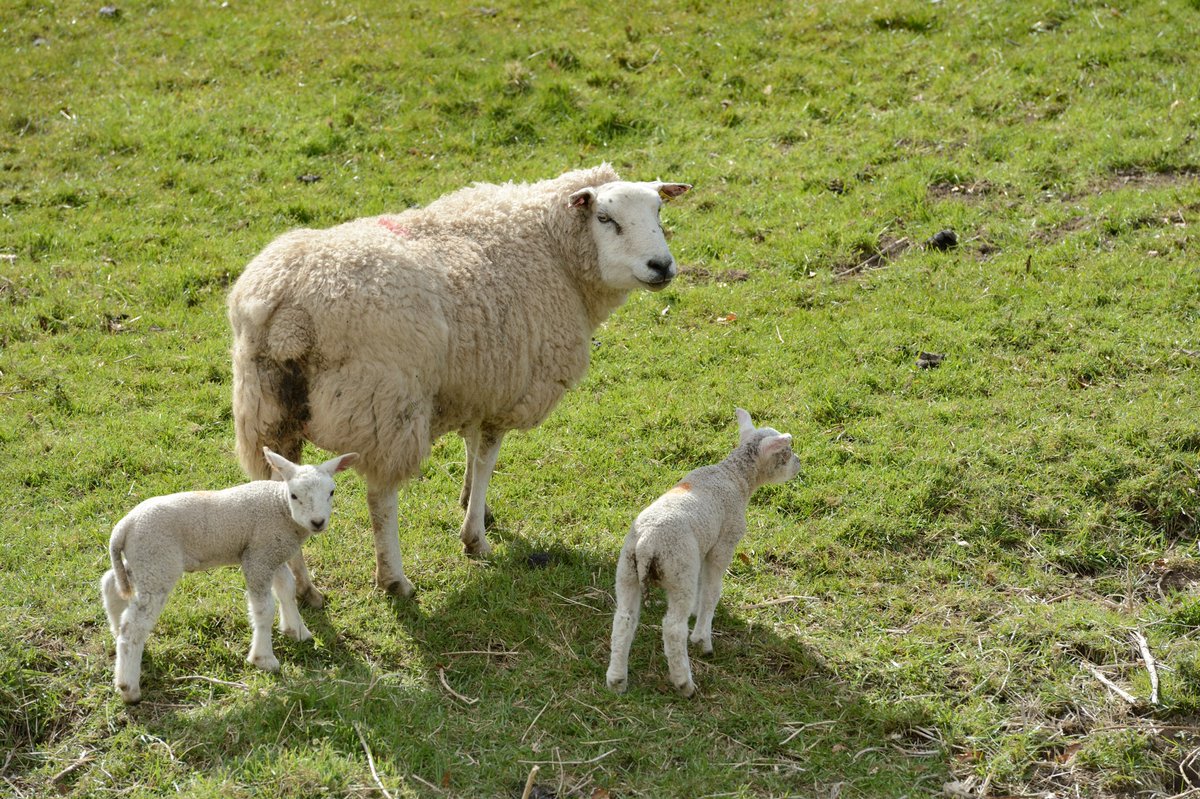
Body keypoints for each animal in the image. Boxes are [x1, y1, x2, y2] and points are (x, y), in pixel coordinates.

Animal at [99, 443, 355, 700]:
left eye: (331, 492)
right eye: (294, 495)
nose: (317, 522)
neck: (280, 507)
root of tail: (123, 527)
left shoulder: (273, 553)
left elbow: (287, 590)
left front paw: (297, 630)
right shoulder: (258, 558)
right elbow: (264, 609)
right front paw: (264, 659)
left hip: (143, 560)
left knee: (111, 584)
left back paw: (116, 634)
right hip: (157, 562)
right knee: (134, 625)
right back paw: (128, 687)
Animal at [228, 161, 691, 599]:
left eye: (659, 210)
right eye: (605, 218)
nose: (662, 266)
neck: (551, 248)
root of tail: (289, 310)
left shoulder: (477, 379)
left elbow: (470, 448)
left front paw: (473, 504)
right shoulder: (508, 386)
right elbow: (486, 457)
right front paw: (475, 538)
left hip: (266, 413)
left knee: (280, 492)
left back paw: (305, 590)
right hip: (384, 407)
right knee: (381, 498)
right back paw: (393, 580)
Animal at [604, 407, 801, 695]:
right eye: (786, 451)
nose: (799, 463)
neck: (734, 475)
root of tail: (647, 544)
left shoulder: (703, 547)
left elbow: (702, 586)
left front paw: (698, 614)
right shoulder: (723, 543)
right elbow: (712, 590)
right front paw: (702, 637)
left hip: (628, 571)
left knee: (624, 620)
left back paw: (617, 680)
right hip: (679, 569)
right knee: (673, 628)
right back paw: (684, 683)